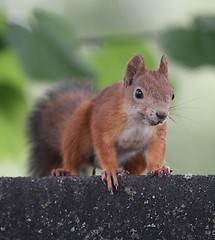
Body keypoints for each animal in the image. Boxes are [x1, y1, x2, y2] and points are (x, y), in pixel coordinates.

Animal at [27, 54, 175, 193]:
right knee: (72, 158)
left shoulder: (157, 135)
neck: (138, 122)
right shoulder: (103, 124)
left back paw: (124, 171)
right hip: (77, 130)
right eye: (138, 93)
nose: (162, 115)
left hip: (137, 157)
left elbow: (156, 151)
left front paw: (158, 169)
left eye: (172, 94)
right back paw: (63, 171)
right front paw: (110, 171)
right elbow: (105, 149)